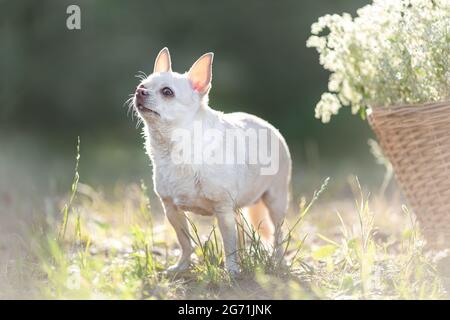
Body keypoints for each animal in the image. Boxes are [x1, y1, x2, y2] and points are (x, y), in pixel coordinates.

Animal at [133, 48, 292, 276]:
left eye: (167, 92)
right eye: (142, 85)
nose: (140, 92)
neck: (175, 148)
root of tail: (267, 124)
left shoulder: (222, 209)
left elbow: (229, 245)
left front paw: (231, 270)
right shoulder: (172, 209)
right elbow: (185, 242)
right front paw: (181, 267)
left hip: (275, 201)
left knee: (278, 234)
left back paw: (277, 260)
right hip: (237, 209)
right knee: (242, 232)